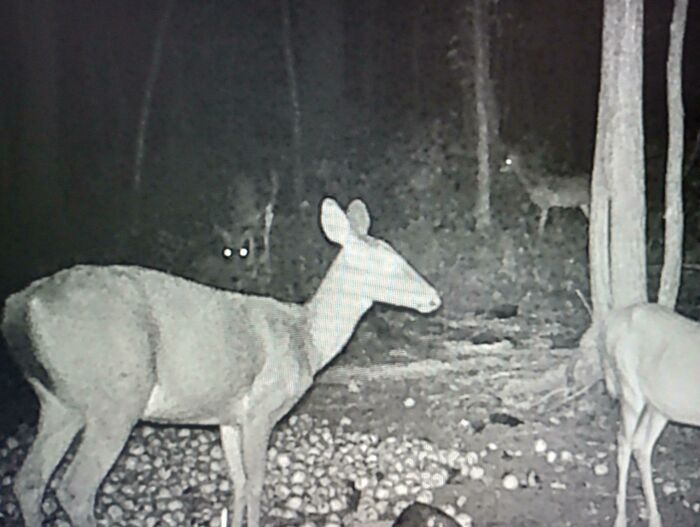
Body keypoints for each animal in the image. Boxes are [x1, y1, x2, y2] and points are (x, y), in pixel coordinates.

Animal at [1, 197, 441, 527]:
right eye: (387, 263)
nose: (434, 297)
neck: (307, 341)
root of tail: (21, 306)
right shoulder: (262, 407)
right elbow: (258, 481)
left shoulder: (229, 417)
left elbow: (240, 483)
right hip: (117, 394)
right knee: (75, 488)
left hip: (60, 402)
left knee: (29, 480)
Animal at [582, 303, 700, 527]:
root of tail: (610, 321)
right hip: (630, 387)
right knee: (624, 441)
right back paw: (621, 517)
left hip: (659, 404)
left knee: (641, 445)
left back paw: (654, 517)